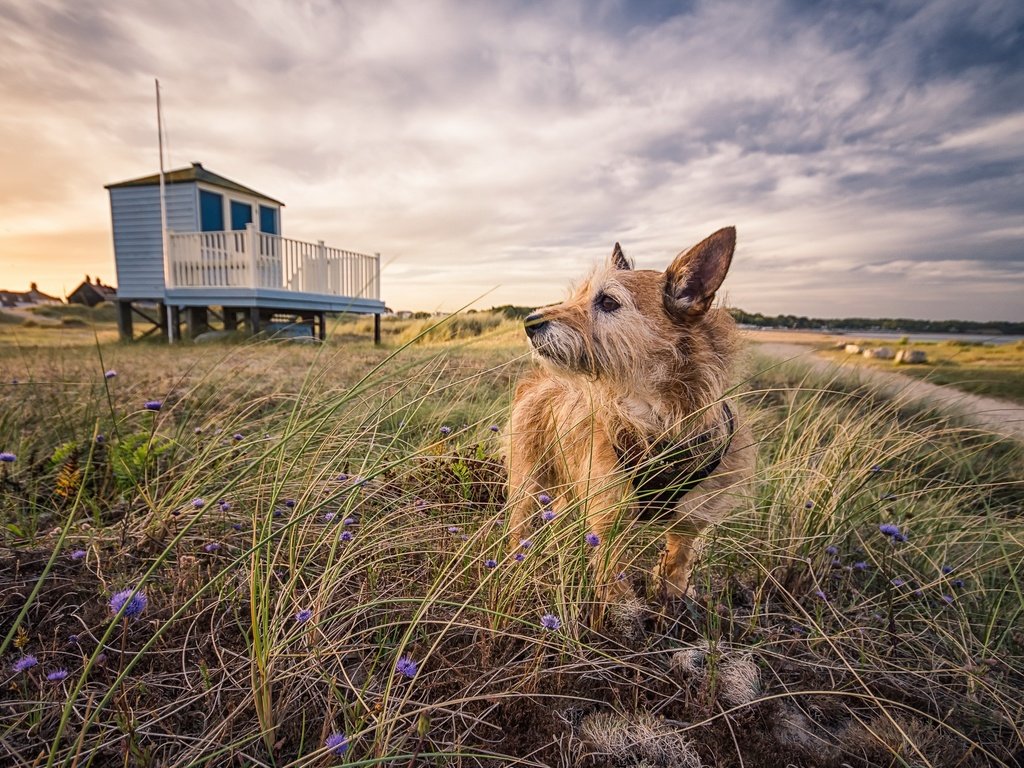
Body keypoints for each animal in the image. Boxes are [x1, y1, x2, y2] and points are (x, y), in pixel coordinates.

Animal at [503, 228, 753, 606]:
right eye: (578, 295)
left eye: (608, 302)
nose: (529, 322)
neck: (659, 414)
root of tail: (539, 379)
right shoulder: (609, 516)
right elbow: (613, 577)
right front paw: (621, 612)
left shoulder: (691, 519)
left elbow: (678, 561)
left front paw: (674, 598)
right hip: (528, 480)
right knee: (519, 523)